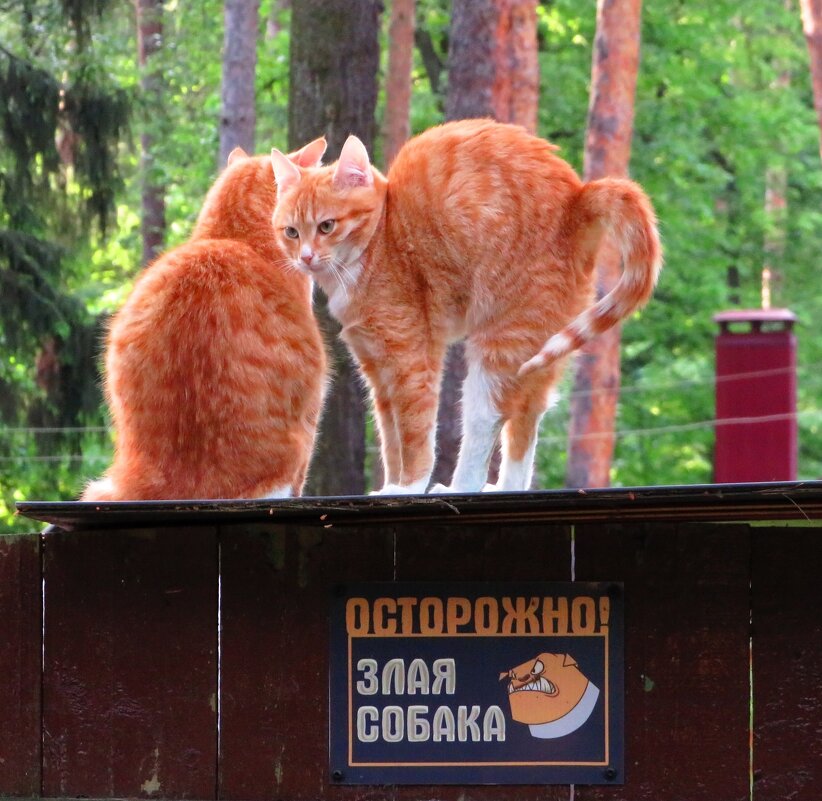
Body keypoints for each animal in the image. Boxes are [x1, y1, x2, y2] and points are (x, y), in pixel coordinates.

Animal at [270, 119, 664, 494]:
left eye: (326, 226)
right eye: (291, 232)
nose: (305, 257)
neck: (381, 238)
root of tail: (579, 197)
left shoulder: (410, 361)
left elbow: (414, 436)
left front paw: (409, 487)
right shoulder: (378, 372)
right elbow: (391, 441)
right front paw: (392, 484)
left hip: (500, 343)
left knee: (485, 419)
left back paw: (462, 485)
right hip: (537, 351)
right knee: (525, 419)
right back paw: (506, 488)